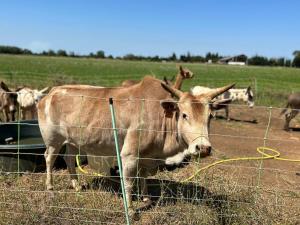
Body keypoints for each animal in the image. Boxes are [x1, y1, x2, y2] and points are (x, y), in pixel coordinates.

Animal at [37, 76, 234, 217]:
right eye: (184, 115)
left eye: (210, 116)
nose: (203, 148)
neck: (160, 115)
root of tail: (51, 93)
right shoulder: (129, 155)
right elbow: (129, 183)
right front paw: (131, 209)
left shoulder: (146, 157)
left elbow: (143, 177)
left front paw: (146, 198)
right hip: (53, 139)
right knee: (49, 158)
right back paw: (50, 187)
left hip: (72, 141)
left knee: (69, 159)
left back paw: (76, 185)